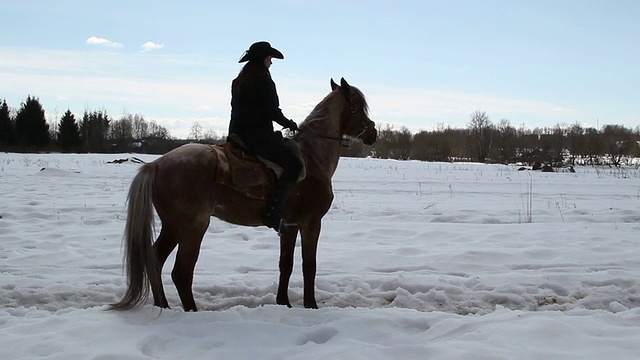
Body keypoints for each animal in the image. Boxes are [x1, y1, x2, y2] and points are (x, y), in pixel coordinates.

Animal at [110, 77, 378, 310]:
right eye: (356, 108)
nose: (373, 133)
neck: (312, 157)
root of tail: (156, 164)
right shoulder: (311, 224)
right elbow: (309, 266)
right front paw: (311, 305)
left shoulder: (289, 226)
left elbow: (286, 264)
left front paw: (284, 302)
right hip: (192, 228)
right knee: (182, 273)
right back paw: (190, 312)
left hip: (172, 227)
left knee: (155, 260)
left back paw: (163, 306)